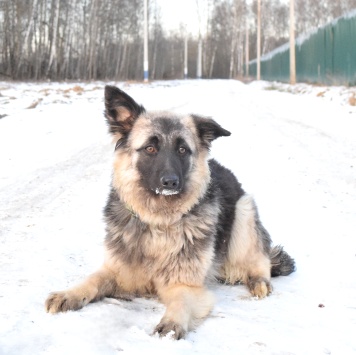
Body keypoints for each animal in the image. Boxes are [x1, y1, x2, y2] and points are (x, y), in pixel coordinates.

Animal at [45, 85, 294, 340]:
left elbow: (180, 302)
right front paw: (69, 294)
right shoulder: (116, 270)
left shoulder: (185, 286)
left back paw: (258, 281)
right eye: (150, 148)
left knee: (260, 260)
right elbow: (92, 279)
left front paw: (171, 323)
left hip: (244, 211)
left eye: (182, 150)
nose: (170, 182)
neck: (158, 219)